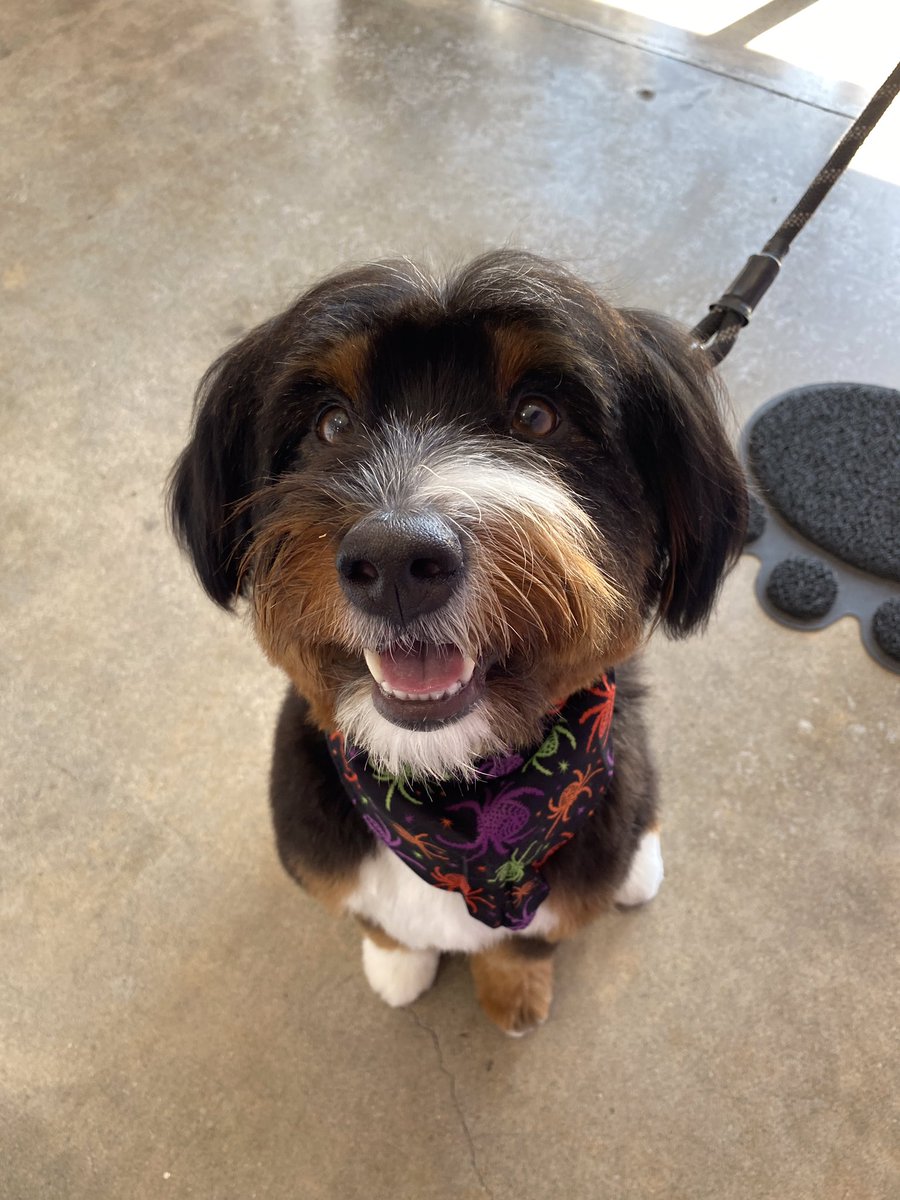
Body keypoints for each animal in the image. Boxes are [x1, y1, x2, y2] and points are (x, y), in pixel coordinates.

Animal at [169, 250, 748, 1032]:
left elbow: (525, 942)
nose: (394, 561)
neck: (450, 795)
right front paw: (396, 962)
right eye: (330, 423)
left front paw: (513, 994)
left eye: (538, 416)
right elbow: (378, 920)